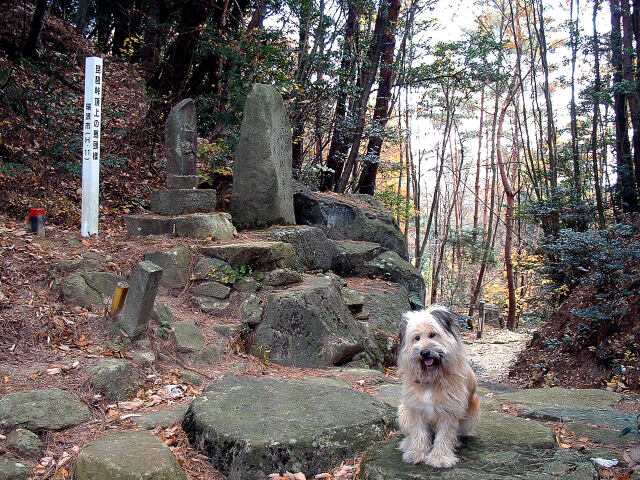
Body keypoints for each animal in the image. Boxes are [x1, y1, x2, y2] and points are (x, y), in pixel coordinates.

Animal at [396, 306, 480, 466]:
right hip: (403, 411)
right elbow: (419, 432)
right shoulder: (415, 408)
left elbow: (445, 435)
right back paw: (407, 444)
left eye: (433, 335)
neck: (432, 378)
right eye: (417, 338)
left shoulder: (450, 410)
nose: (424, 353)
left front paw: (440, 457)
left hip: (472, 412)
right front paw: (417, 452)